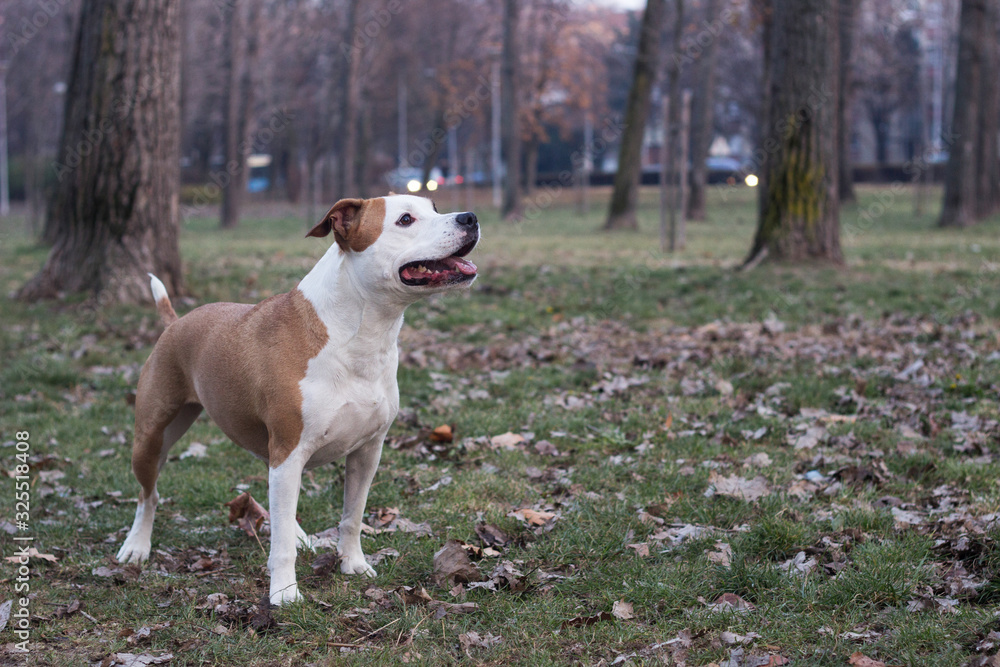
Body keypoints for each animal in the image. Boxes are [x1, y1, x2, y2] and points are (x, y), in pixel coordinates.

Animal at [115, 194, 478, 604]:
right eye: (405, 220)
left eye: (434, 207)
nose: (470, 218)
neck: (357, 333)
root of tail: (175, 322)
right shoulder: (289, 452)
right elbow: (283, 542)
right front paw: (285, 593)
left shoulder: (367, 452)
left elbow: (352, 516)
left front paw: (352, 563)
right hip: (151, 437)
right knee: (148, 495)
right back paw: (136, 546)